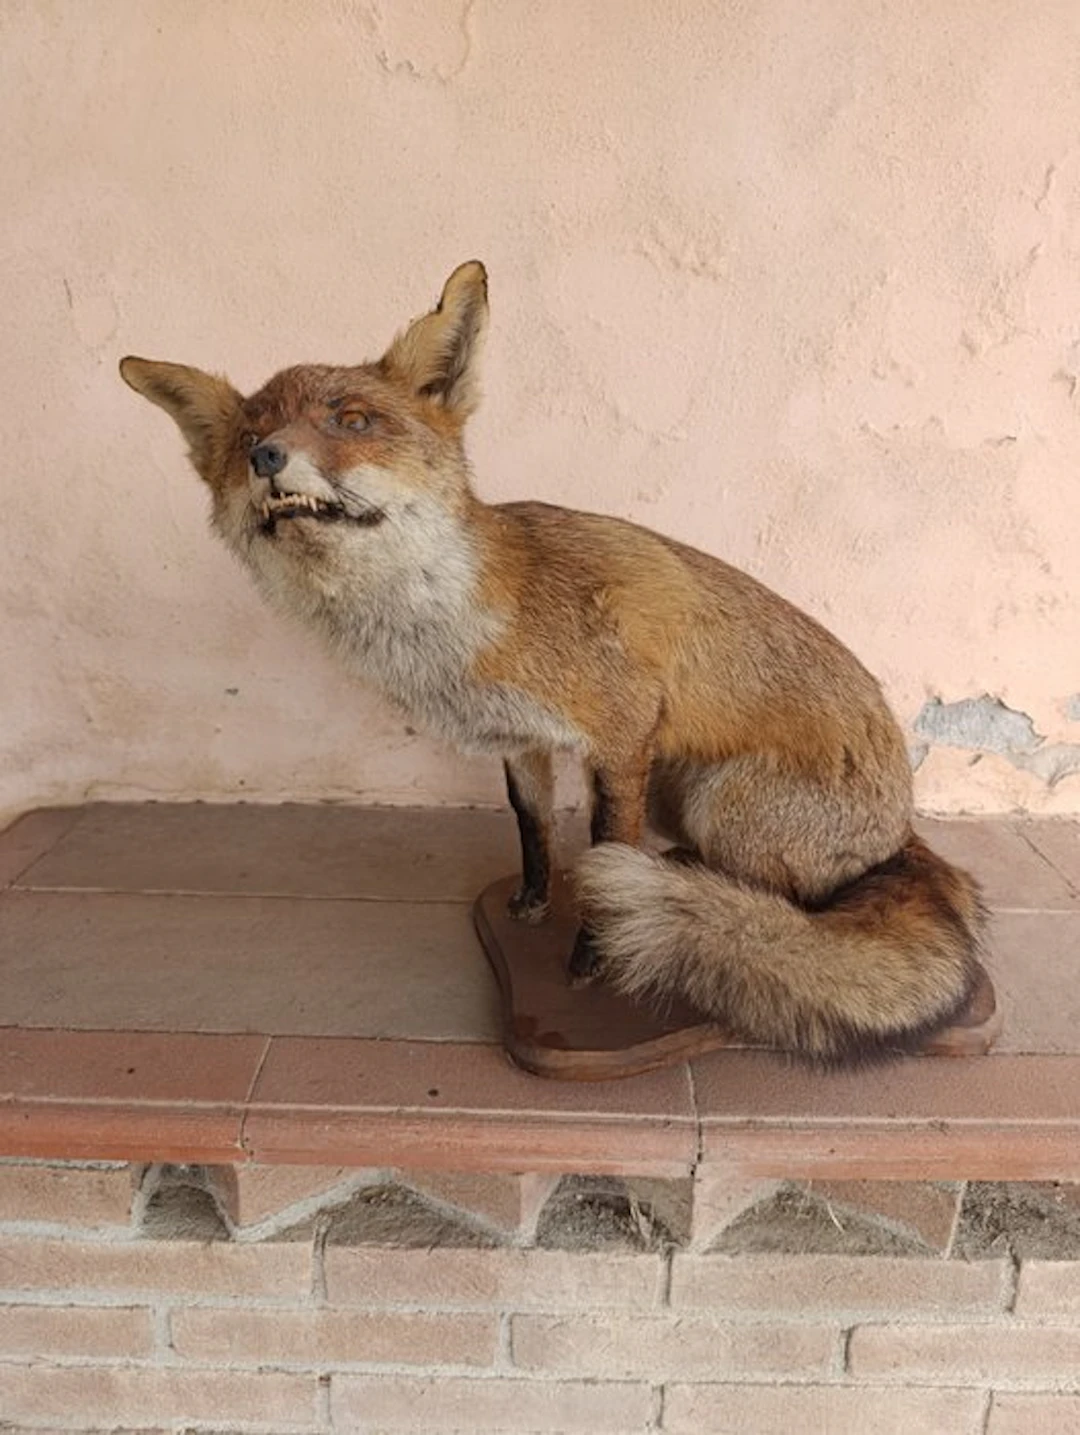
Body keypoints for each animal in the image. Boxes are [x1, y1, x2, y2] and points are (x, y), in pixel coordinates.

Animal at [120, 259, 987, 1065]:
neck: (456, 627)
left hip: (719, 798)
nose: (267, 457)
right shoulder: (522, 740)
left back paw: (701, 891)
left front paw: (591, 962)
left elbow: (603, 857)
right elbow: (533, 829)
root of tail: (903, 825)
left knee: (795, 896)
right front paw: (532, 906)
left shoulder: (624, 736)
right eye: (246, 437)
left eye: (352, 419)